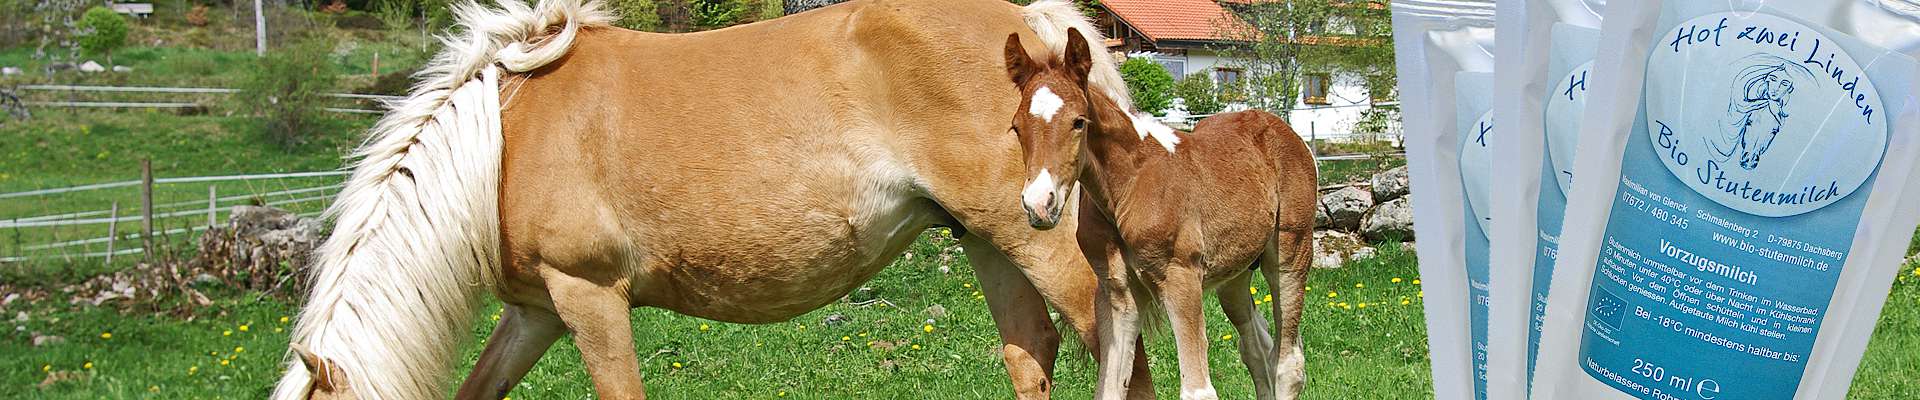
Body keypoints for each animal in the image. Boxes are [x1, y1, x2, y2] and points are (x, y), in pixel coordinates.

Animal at [264, 0, 1152, 400]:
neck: (506, 139)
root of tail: (1037, 28)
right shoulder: (536, 313)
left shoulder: (590, 297)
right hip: (984, 237)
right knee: (1031, 353)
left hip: (1043, 241)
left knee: (1124, 351)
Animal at [1006, 29, 1320, 398]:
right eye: (1016, 127)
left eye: (1078, 122)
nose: (1039, 203)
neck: (1127, 186)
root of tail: (1284, 129)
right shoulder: (1118, 294)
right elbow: (1110, 387)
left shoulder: (1181, 277)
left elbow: (1198, 390)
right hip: (1235, 274)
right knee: (1257, 347)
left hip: (1290, 255)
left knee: (1288, 361)